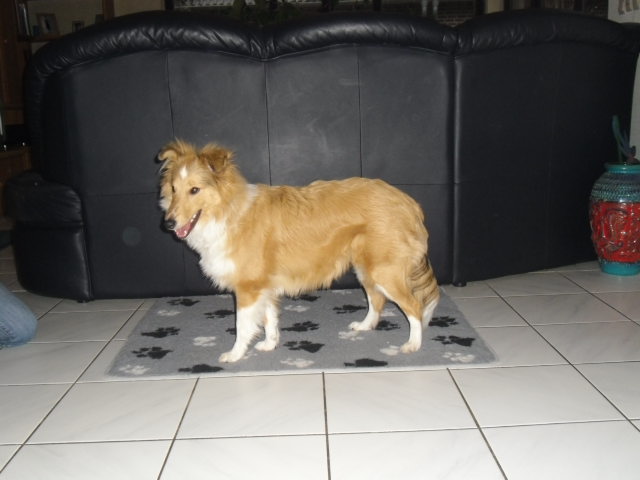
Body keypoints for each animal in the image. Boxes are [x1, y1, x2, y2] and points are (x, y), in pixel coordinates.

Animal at [158, 140, 440, 363]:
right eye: (173, 189)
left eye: (195, 190)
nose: (168, 224)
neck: (228, 211)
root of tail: (408, 202)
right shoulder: (264, 285)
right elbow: (270, 319)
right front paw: (270, 344)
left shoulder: (248, 288)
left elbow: (242, 325)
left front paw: (235, 354)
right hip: (366, 267)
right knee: (377, 300)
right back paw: (363, 326)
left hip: (383, 270)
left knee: (414, 306)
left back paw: (412, 345)